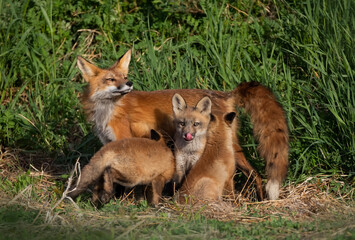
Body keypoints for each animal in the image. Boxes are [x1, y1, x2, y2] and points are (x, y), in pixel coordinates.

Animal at [77, 49, 290, 200]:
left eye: (124, 76)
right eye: (111, 79)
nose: (129, 84)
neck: (109, 110)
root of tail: (225, 94)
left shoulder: (125, 140)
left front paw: (122, 199)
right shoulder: (109, 143)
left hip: (232, 148)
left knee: (255, 174)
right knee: (255, 174)